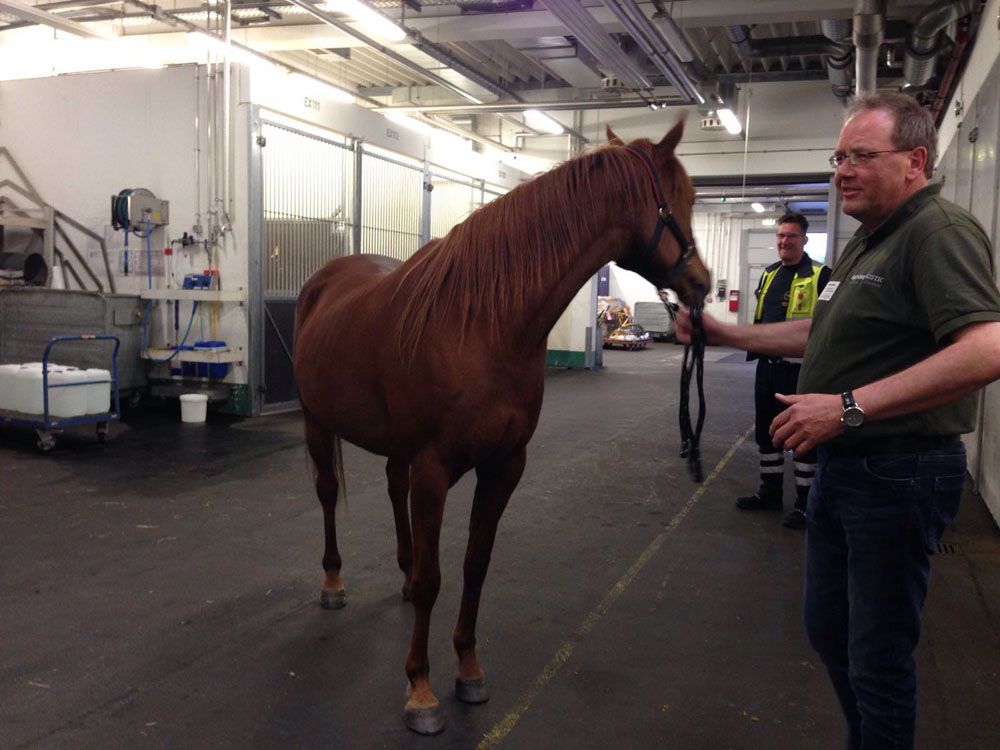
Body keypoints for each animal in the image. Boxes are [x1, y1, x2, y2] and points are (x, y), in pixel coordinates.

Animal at [293, 121, 710, 734]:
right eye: (682, 198)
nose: (703, 284)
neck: (481, 325)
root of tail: (324, 281)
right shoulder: (434, 470)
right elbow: (435, 578)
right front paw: (420, 690)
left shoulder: (504, 466)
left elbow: (475, 565)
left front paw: (468, 670)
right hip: (317, 422)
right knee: (326, 494)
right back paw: (332, 584)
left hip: (396, 451)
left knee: (393, 491)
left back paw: (397, 575)